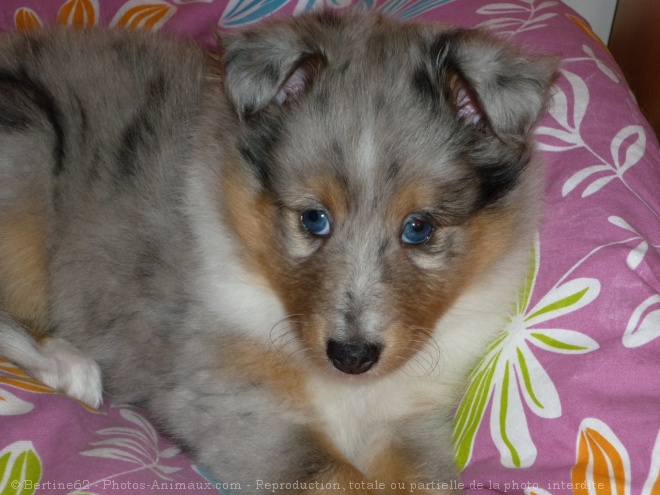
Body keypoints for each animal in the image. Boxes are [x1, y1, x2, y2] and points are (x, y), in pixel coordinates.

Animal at [0, 11, 556, 495]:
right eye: (313, 219)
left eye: (418, 228)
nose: (351, 357)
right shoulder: (229, 402)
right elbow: (334, 475)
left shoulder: (408, 418)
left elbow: (421, 479)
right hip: (28, 156)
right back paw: (70, 367)